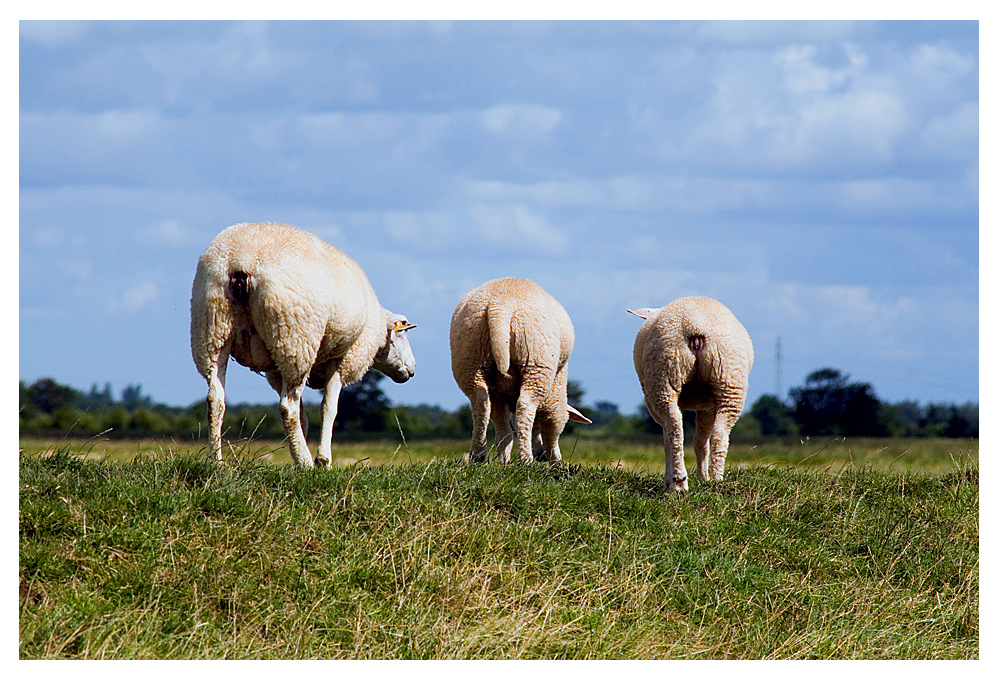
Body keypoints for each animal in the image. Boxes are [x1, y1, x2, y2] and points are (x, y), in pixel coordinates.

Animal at [189, 223, 416, 468]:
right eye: (403, 332)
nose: (412, 370)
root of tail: (242, 262)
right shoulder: (342, 360)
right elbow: (328, 409)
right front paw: (322, 460)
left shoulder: (275, 371)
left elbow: (305, 416)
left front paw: (301, 451)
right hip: (296, 337)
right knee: (287, 407)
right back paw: (305, 460)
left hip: (212, 329)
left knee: (215, 399)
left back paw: (218, 461)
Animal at [450, 276, 588, 462]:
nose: (541, 456)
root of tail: (500, 304)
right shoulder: (556, 390)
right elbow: (553, 425)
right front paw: (556, 460)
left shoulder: (498, 393)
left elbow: (503, 427)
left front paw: (503, 460)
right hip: (536, 360)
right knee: (525, 405)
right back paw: (525, 459)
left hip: (469, 357)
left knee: (481, 403)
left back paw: (479, 455)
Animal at [628, 294, 752, 492]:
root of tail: (695, 326)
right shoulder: (707, 405)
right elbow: (701, 441)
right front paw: (702, 478)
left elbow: (683, 440)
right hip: (728, 380)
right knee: (717, 434)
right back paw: (712, 480)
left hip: (666, 376)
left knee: (675, 429)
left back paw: (679, 482)